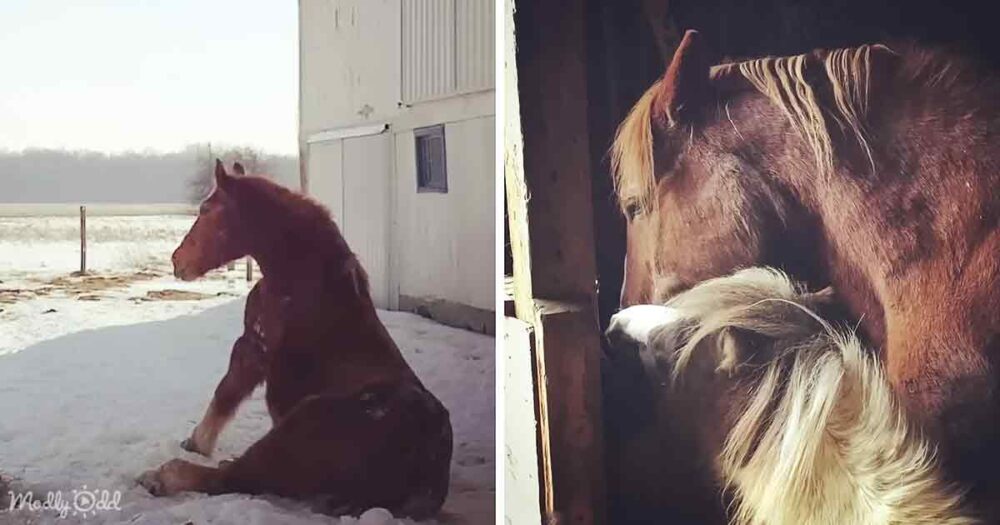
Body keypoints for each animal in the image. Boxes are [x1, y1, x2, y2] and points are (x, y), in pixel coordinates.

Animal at [137, 160, 453, 519]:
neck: (301, 282)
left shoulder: (252, 347)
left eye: (206, 209)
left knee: (231, 477)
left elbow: (225, 392)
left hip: (298, 422)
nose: (177, 261)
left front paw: (196, 443)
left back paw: (161, 476)